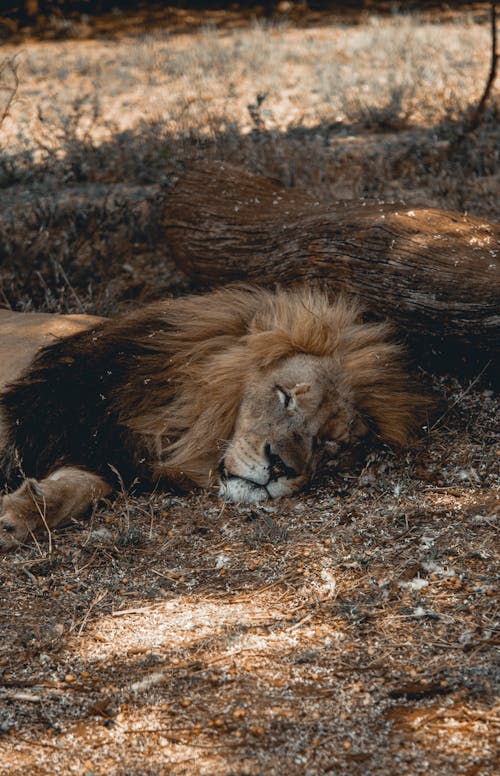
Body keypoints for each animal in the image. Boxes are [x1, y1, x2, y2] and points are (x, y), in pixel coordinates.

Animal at [0, 284, 426, 544]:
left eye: (331, 442)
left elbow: (84, 487)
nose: (280, 467)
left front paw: (20, 513)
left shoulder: (108, 455)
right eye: (285, 395)